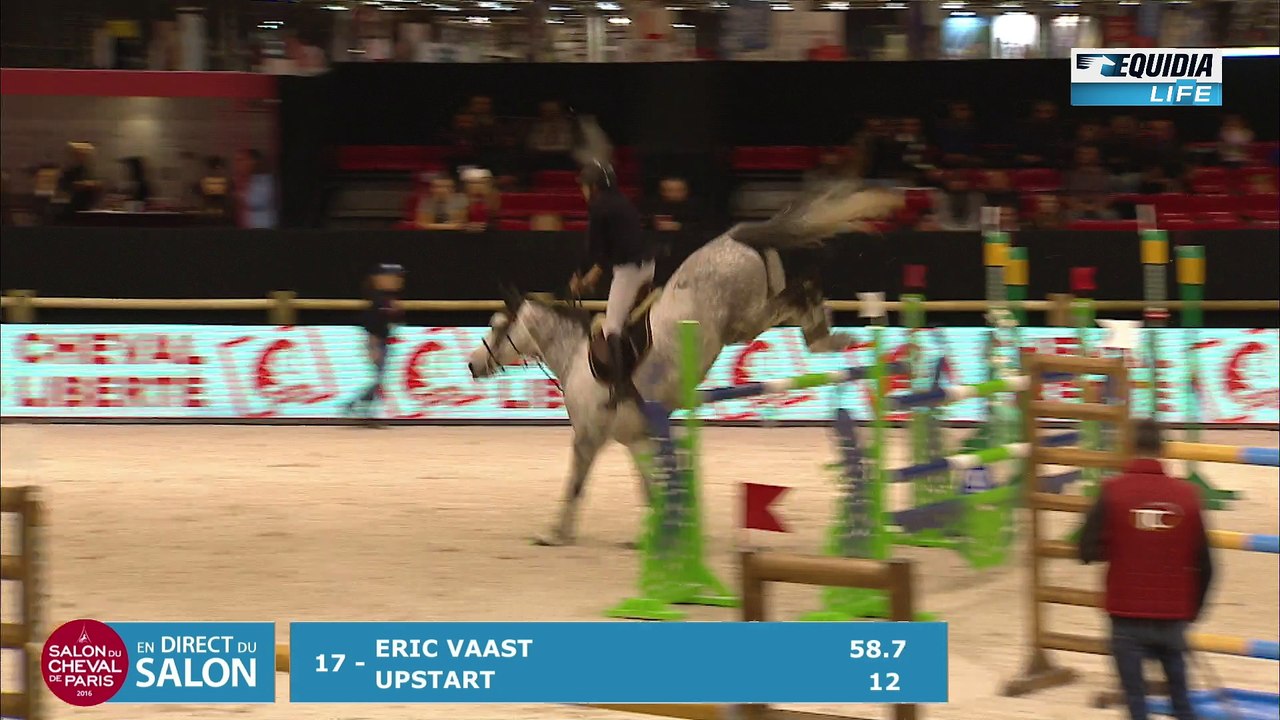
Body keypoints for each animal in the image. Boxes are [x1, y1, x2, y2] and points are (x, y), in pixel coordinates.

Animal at [467, 183, 903, 546]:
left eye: (498, 326)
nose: (472, 364)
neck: (576, 360)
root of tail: (733, 236)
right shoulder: (637, 438)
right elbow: (650, 490)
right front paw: (663, 535)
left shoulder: (589, 437)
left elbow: (575, 484)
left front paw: (555, 534)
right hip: (752, 310)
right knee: (796, 294)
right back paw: (828, 336)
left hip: (742, 319)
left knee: (798, 293)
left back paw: (824, 336)